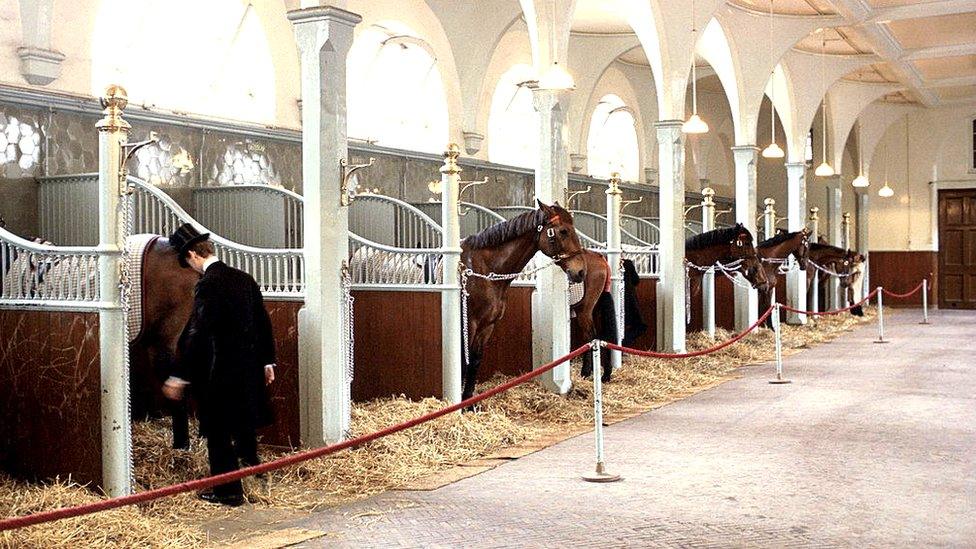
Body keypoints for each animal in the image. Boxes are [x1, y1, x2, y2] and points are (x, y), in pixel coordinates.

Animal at [460, 199, 584, 400]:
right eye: (564, 231)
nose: (580, 271)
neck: (482, 271)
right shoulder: (469, 323)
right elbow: (465, 360)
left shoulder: (487, 326)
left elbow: (475, 361)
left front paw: (469, 402)